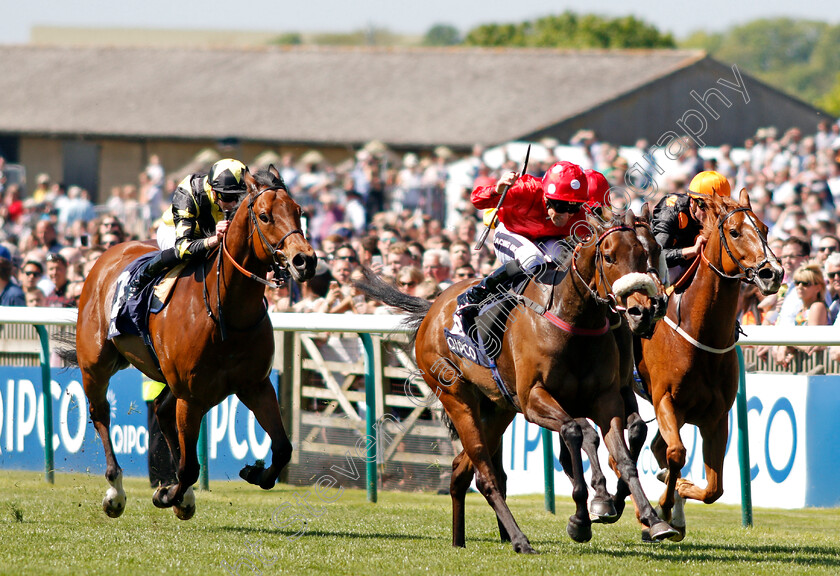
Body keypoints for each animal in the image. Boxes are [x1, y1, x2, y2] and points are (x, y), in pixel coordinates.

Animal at [58, 164, 316, 520]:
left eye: (298, 211)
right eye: (264, 216)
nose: (305, 261)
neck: (226, 311)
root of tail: (106, 254)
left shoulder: (256, 385)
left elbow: (282, 448)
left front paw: (253, 472)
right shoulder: (192, 397)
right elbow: (190, 467)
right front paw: (167, 495)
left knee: (162, 411)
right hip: (95, 364)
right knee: (101, 414)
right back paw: (116, 491)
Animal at [360, 209, 676, 552]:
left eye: (648, 253)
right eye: (608, 256)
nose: (643, 310)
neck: (573, 320)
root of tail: (433, 307)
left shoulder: (607, 399)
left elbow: (624, 453)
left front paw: (652, 519)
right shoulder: (535, 399)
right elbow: (577, 433)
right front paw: (587, 513)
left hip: (498, 409)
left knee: (464, 469)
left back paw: (463, 539)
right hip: (457, 398)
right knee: (486, 476)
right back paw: (519, 539)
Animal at [640, 189, 784, 540]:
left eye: (765, 228)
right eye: (734, 232)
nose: (772, 273)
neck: (699, 331)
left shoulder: (717, 416)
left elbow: (713, 489)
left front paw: (677, 496)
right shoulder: (666, 401)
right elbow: (676, 453)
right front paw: (666, 504)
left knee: (656, 448)